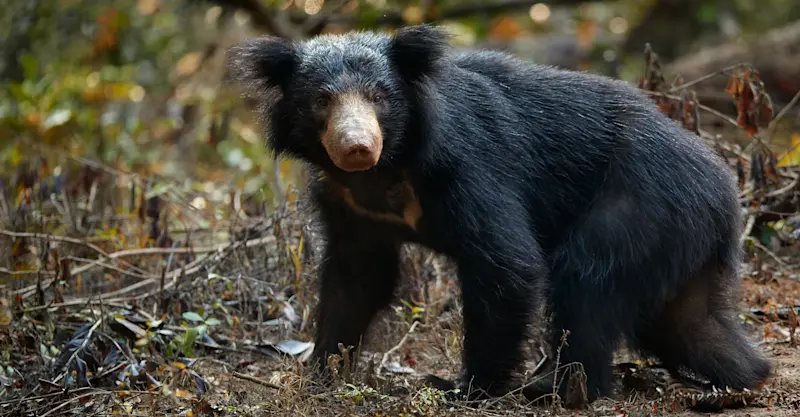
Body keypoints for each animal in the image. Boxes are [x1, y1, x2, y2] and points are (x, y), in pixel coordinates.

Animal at [226, 24, 772, 407]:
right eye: (322, 101)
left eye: (379, 97)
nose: (357, 147)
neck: (387, 170)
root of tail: (725, 188)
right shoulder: (350, 205)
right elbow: (356, 281)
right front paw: (321, 372)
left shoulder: (468, 166)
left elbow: (505, 263)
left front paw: (466, 388)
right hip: (672, 236)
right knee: (686, 320)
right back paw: (743, 377)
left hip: (636, 206)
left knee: (587, 282)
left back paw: (559, 387)